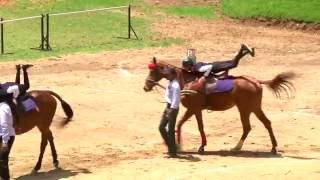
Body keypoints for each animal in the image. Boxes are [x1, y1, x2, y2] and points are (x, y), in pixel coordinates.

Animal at [144, 57, 294, 155]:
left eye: (153, 71)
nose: (145, 86)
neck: (188, 80)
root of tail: (256, 81)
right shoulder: (194, 110)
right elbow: (184, 124)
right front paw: (186, 146)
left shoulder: (194, 109)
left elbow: (193, 125)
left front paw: (193, 146)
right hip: (254, 108)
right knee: (266, 123)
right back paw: (272, 148)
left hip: (245, 109)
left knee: (248, 127)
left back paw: (237, 148)